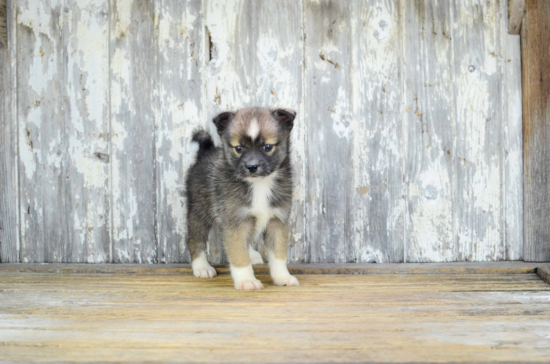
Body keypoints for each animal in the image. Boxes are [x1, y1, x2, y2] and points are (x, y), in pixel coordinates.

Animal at [185, 107, 300, 290]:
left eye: (267, 147)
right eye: (238, 148)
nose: (252, 167)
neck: (259, 184)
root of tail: (205, 153)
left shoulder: (277, 220)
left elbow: (279, 255)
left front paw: (283, 277)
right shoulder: (236, 222)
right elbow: (238, 254)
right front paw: (246, 280)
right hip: (198, 211)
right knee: (195, 240)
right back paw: (202, 267)